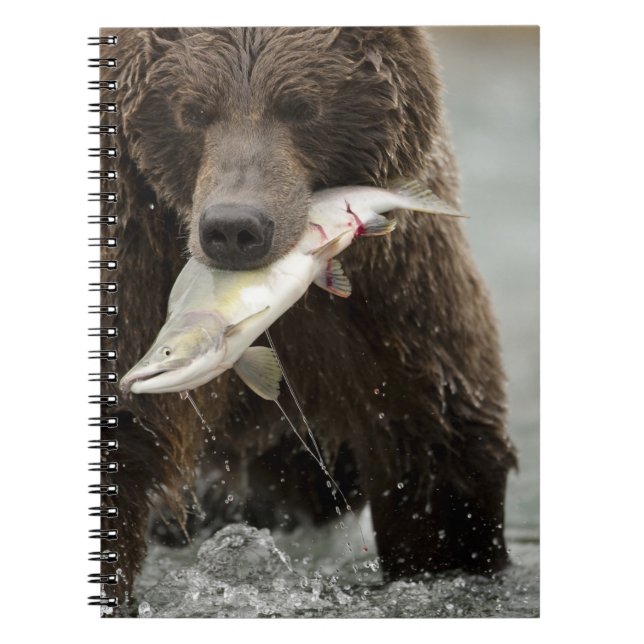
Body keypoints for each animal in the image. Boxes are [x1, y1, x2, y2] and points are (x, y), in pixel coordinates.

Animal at [97, 27, 517, 610]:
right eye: (193, 110)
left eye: (301, 105)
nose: (234, 228)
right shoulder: (137, 260)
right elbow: (126, 439)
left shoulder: (399, 296)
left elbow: (436, 443)